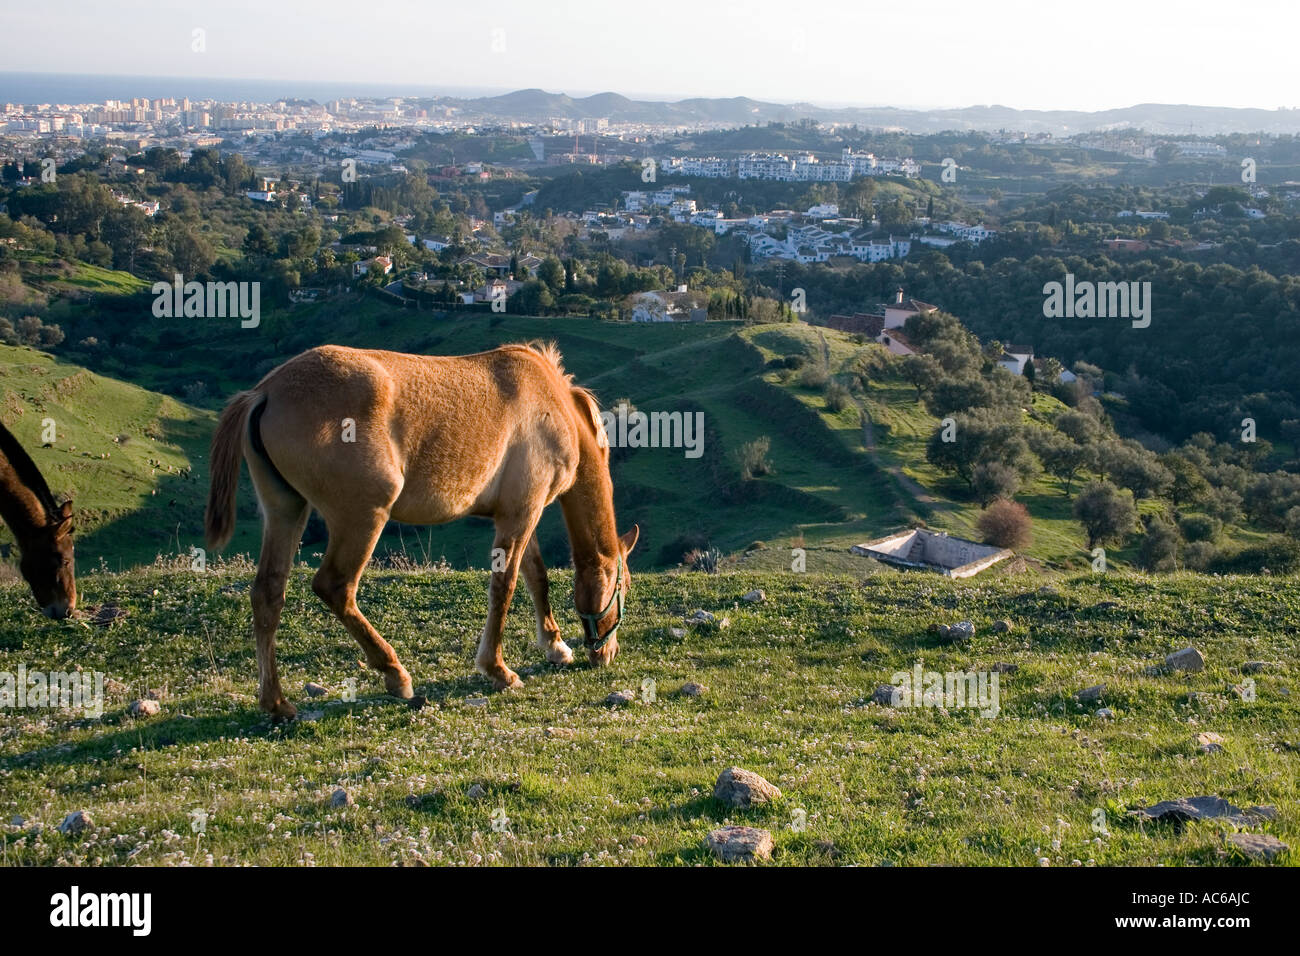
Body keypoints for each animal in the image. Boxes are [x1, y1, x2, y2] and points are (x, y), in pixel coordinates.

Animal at [205, 341, 637, 719]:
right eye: (623, 586)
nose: (606, 653)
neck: (549, 399)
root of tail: (266, 392)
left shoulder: (517, 514)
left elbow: (536, 578)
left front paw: (554, 646)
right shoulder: (521, 513)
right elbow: (506, 586)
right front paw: (498, 669)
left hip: (286, 511)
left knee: (268, 594)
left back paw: (277, 703)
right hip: (362, 518)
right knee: (336, 587)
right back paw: (395, 675)